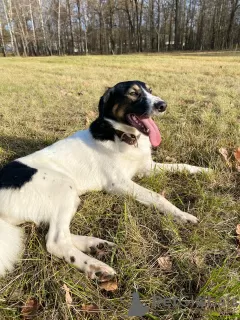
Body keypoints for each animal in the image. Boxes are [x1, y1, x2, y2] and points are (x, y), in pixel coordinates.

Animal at [0, 81, 210, 282]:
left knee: (61, 234)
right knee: (56, 241)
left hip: (71, 198)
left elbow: (181, 166)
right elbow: (157, 196)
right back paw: (95, 266)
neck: (121, 136)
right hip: (64, 188)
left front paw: (204, 171)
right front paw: (182, 215)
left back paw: (95, 244)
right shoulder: (119, 184)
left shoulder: (147, 168)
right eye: (133, 93)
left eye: (150, 90)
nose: (163, 105)